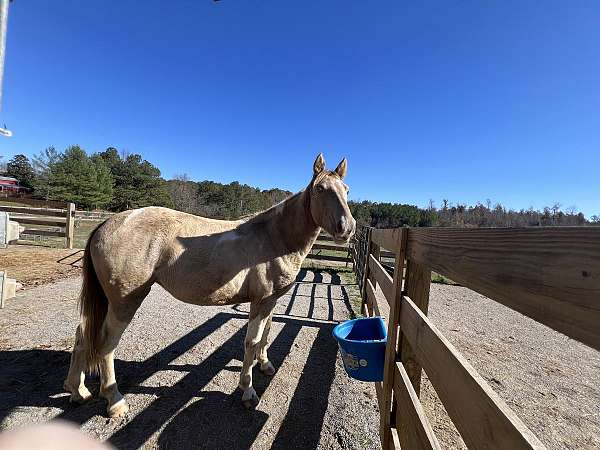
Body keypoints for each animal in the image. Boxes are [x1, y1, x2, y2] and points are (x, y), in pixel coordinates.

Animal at [64, 153, 356, 416]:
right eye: (320, 189)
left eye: (346, 190)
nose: (347, 228)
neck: (274, 236)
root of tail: (107, 223)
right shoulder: (260, 301)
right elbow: (251, 341)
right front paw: (247, 391)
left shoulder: (272, 300)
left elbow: (267, 333)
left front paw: (264, 365)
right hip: (124, 302)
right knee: (106, 344)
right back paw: (115, 401)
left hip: (108, 301)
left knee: (82, 335)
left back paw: (78, 391)